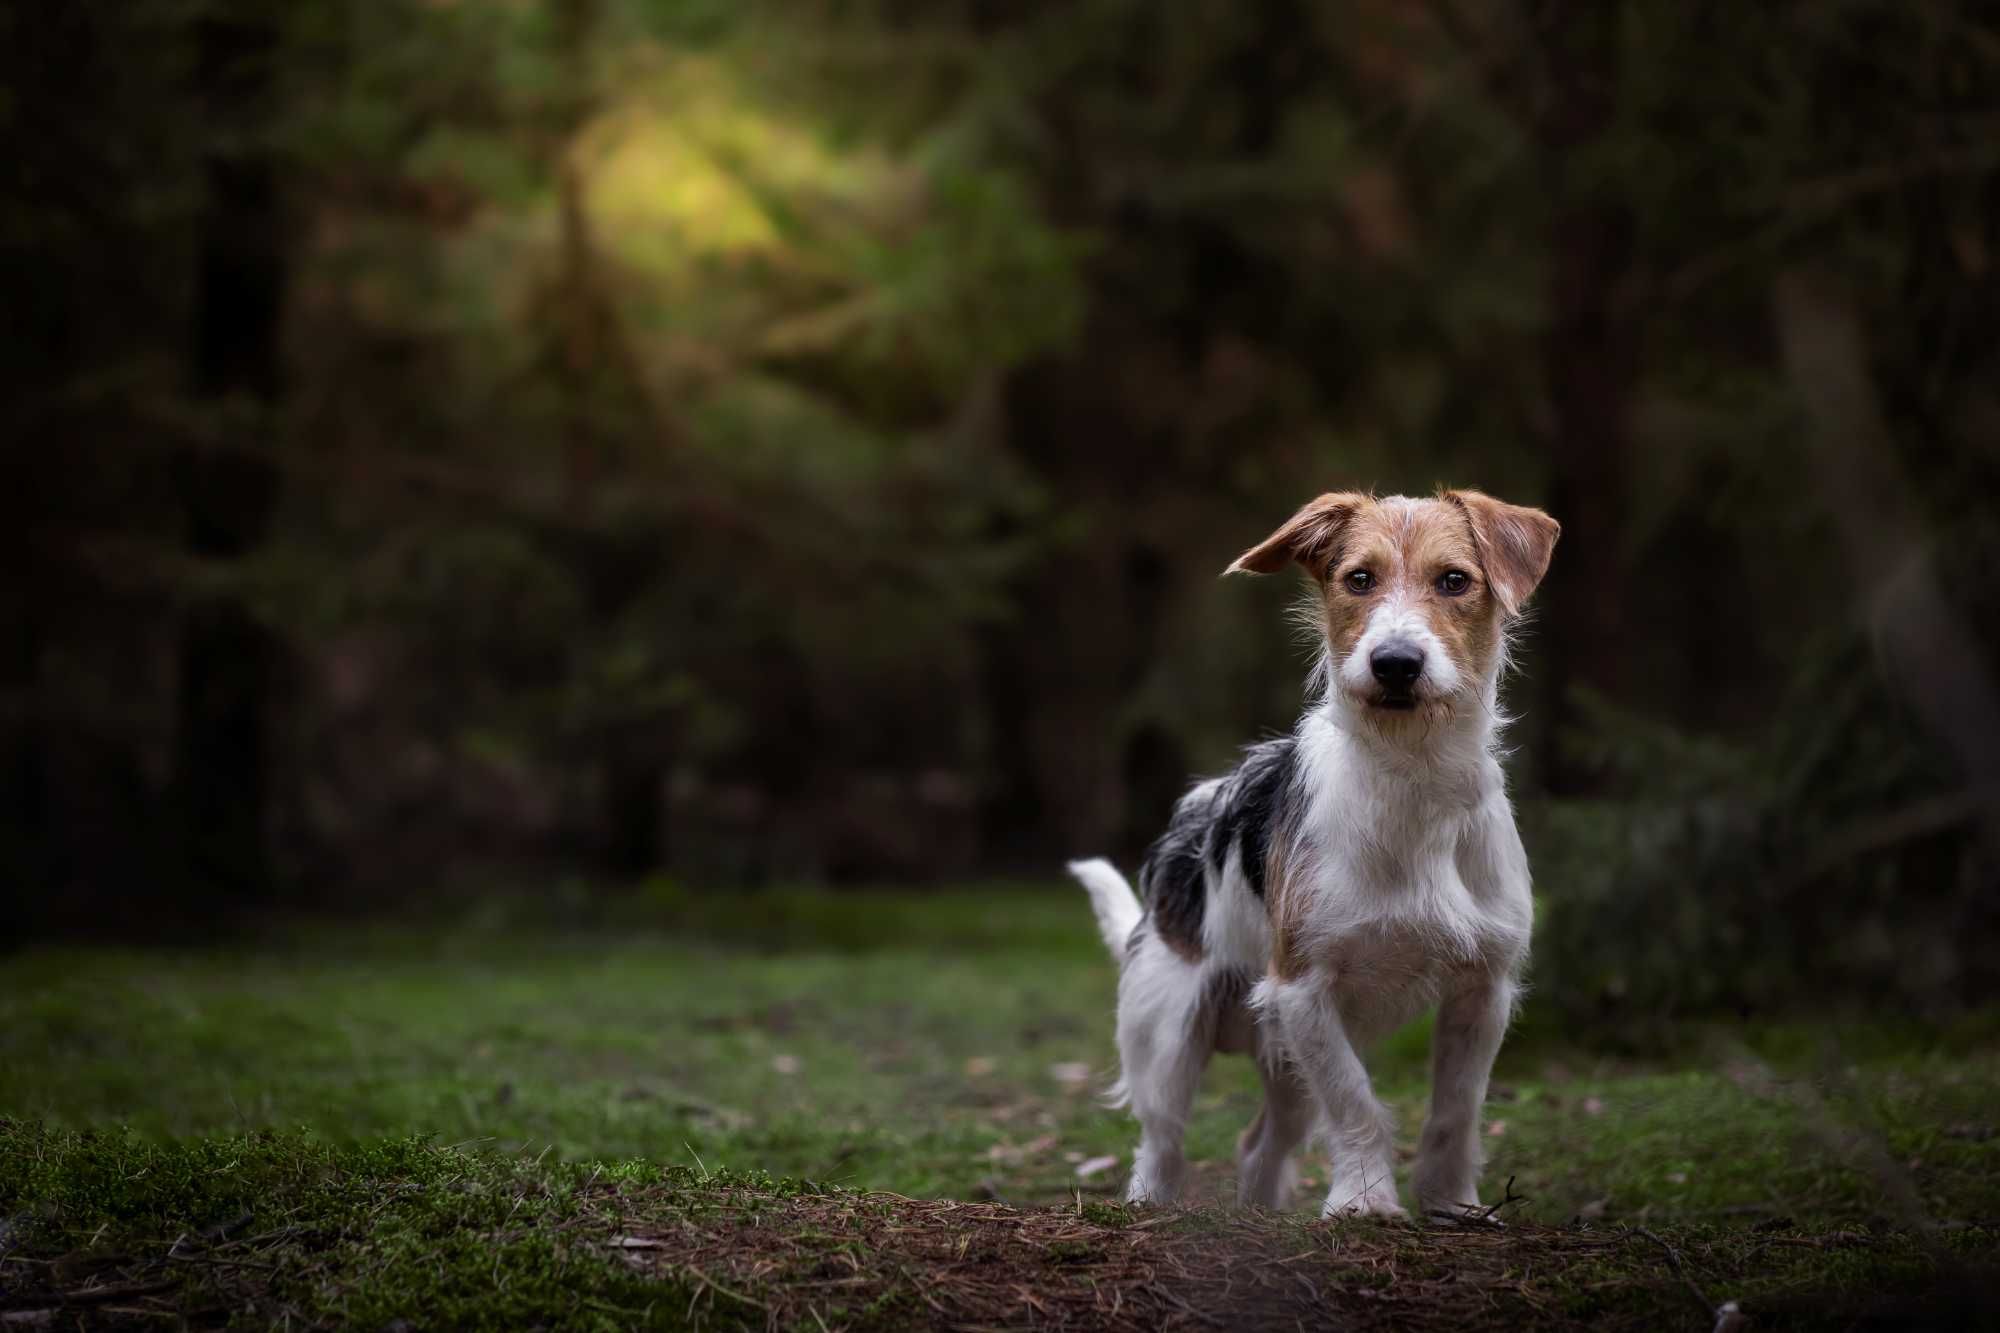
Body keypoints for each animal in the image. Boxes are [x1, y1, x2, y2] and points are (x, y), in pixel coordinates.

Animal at [1064, 488, 1560, 1216]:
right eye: (1359, 578)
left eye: (1454, 580)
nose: (1395, 662)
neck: (1412, 778)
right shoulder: (1304, 989)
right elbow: (1354, 1101)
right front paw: (1364, 1198)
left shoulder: (1482, 991)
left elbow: (1456, 1109)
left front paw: (1452, 1202)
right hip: (1171, 1035)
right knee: (1162, 1143)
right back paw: (1150, 1204)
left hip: (1278, 1051)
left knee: (1260, 1146)